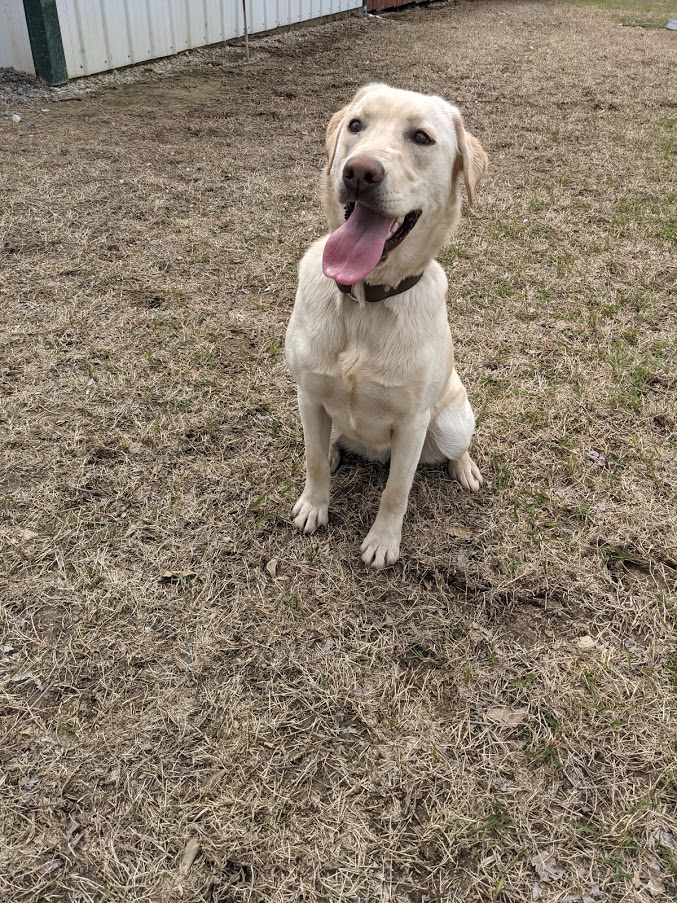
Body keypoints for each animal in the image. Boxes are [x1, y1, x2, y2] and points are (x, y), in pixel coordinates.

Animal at [284, 83, 486, 564]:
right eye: (356, 125)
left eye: (421, 138)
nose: (359, 172)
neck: (365, 301)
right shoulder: (308, 395)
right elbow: (313, 460)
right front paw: (314, 506)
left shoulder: (412, 423)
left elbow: (397, 490)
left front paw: (382, 541)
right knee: (327, 445)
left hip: (450, 422)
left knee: (455, 447)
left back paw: (465, 467)